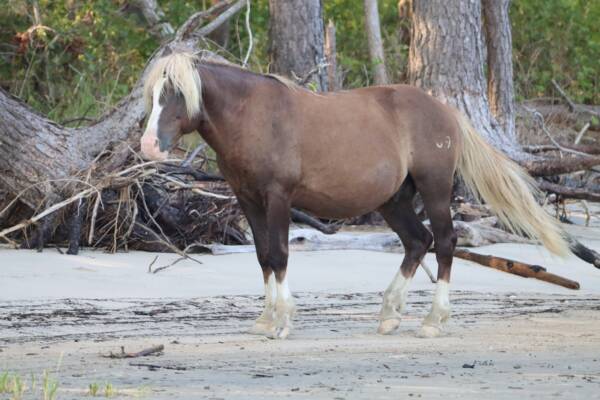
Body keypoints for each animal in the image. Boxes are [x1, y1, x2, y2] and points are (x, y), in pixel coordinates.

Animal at [141, 49, 568, 338]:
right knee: (418, 241)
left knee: (445, 242)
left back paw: (433, 320)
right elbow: (263, 257)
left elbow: (279, 255)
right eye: (154, 94)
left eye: (176, 93)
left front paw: (283, 320)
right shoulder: (248, 199)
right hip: (394, 200)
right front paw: (265, 319)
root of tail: (446, 111)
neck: (255, 117)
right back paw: (390, 314)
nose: (149, 145)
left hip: (435, 188)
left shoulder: (278, 197)